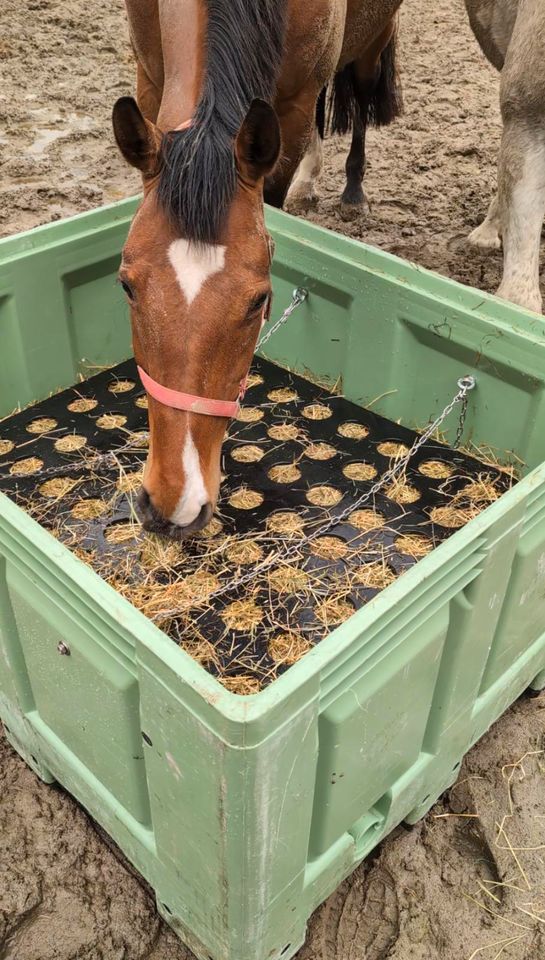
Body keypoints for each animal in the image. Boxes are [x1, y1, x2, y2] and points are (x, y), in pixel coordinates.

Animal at [111, 0, 400, 540]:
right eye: (127, 286)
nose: (174, 506)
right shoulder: (148, 78)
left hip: (371, 52)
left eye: (259, 300)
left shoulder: (292, 113)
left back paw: (353, 190)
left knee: (359, 100)